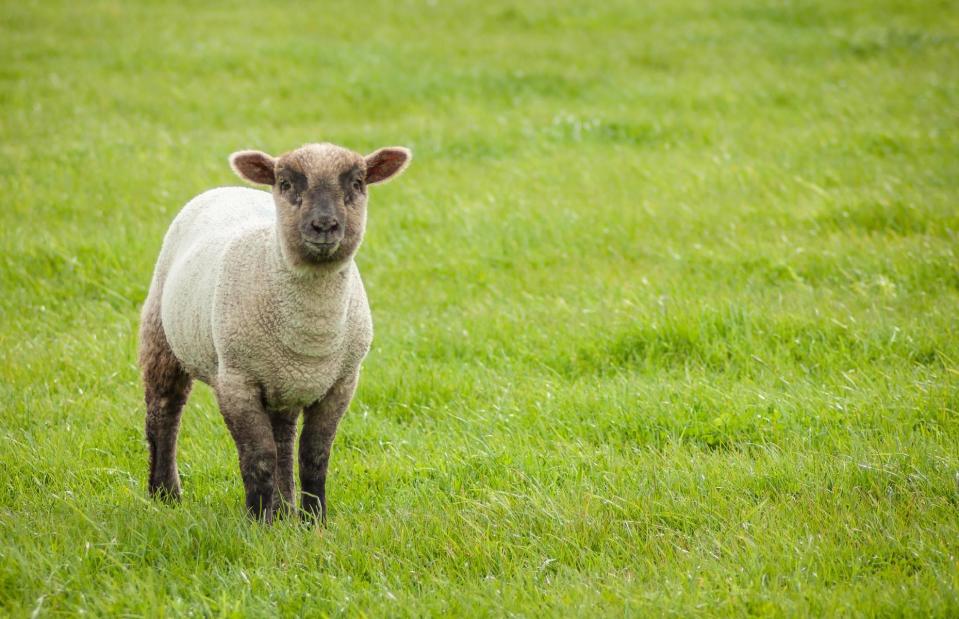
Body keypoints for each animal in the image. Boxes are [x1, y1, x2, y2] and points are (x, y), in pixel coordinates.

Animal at [137, 142, 410, 524]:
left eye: (357, 183)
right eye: (285, 183)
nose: (324, 225)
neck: (311, 333)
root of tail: (228, 188)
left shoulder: (341, 383)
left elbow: (313, 456)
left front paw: (314, 521)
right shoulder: (237, 382)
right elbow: (259, 456)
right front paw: (258, 523)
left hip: (283, 382)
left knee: (283, 435)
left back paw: (285, 508)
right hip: (161, 335)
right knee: (164, 412)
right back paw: (165, 493)